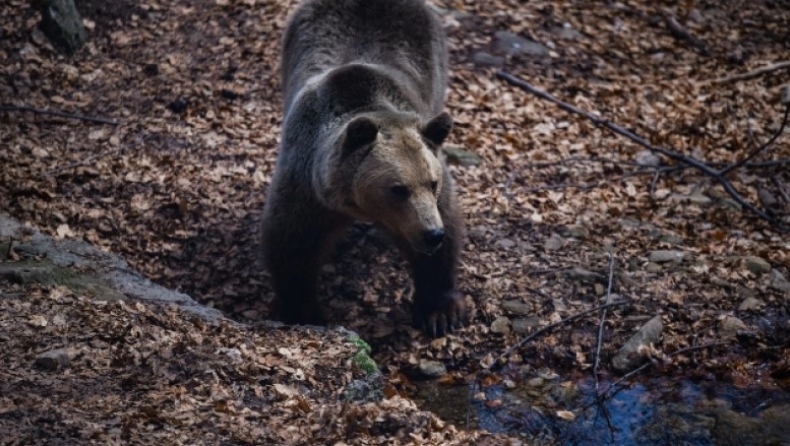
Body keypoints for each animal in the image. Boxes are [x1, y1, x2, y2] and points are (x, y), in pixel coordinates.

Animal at [262, 0, 468, 336]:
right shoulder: (306, 185)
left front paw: (440, 312)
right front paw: (301, 310)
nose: (431, 233)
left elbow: (447, 230)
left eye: (432, 182)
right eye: (398, 189)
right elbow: (292, 243)